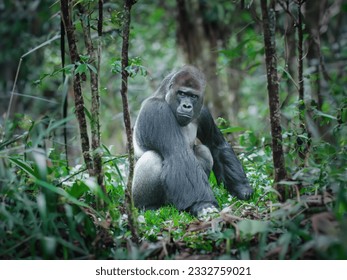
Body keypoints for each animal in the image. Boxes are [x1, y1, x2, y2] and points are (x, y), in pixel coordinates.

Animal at [132, 64, 254, 218]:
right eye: (182, 94)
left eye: (193, 96)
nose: (187, 106)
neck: (165, 96)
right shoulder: (156, 111)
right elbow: (179, 154)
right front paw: (203, 204)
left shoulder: (203, 112)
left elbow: (217, 145)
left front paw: (241, 187)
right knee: (152, 157)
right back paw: (149, 206)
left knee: (203, 151)